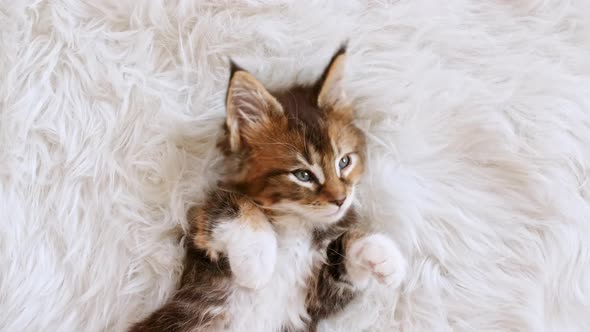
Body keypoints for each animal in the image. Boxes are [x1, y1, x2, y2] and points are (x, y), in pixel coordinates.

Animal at [130, 46, 408, 332]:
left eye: (344, 162)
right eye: (303, 175)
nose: (341, 200)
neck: (295, 220)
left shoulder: (314, 298)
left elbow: (343, 258)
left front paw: (381, 253)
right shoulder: (196, 227)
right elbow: (235, 203)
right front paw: (257, 262)